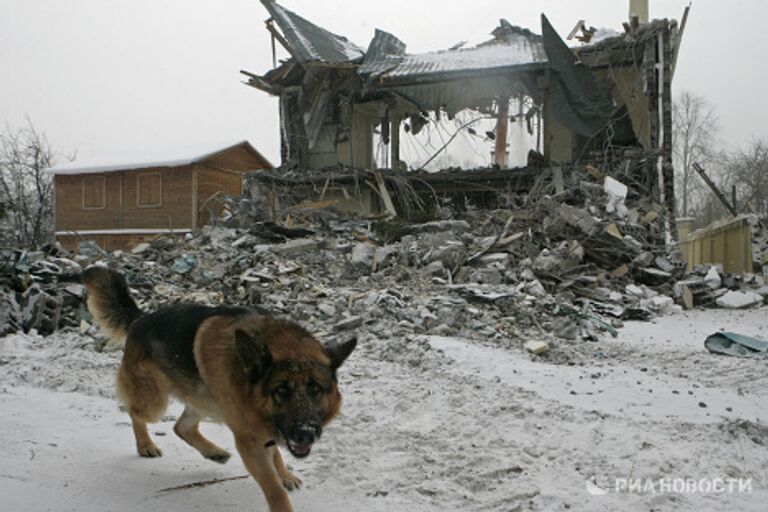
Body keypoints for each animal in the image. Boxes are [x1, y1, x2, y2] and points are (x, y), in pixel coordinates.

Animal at [82, 266, 358, 510]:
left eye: (316, 389)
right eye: (281, 391)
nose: (305, 433)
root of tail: (141, 318)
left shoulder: (261, 429)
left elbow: (276, 455)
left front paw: (285, 475)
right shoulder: (249, 441)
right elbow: (274, 490)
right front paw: (280, 488)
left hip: (206, 401)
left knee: (181, 427)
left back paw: (213, 452)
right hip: (155, 402)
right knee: (135, 412)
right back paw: (145, 445)